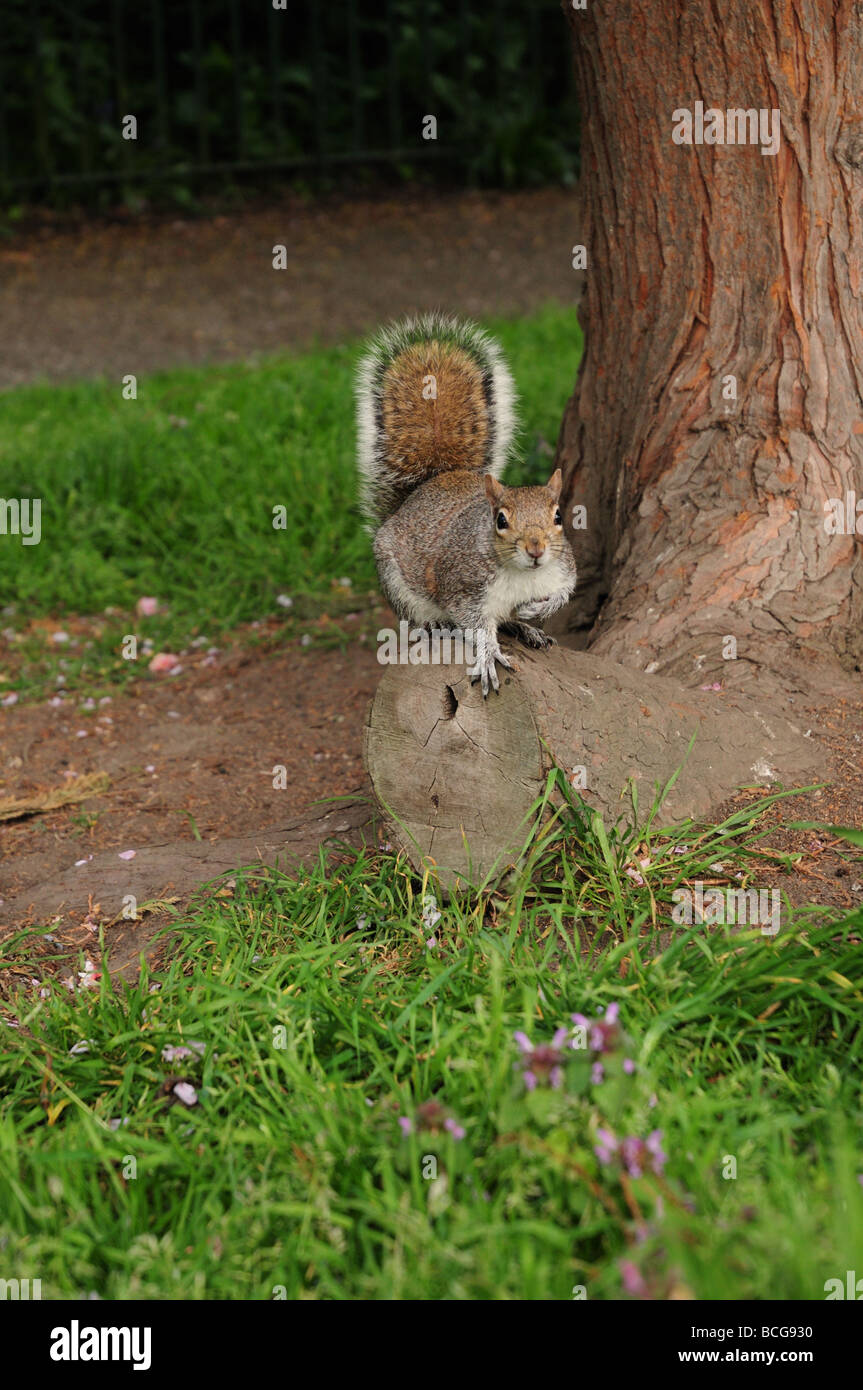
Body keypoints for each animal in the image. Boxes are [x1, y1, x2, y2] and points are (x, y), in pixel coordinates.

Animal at [352, 309, 575, 689]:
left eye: (558, 516)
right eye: (501, 520)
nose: (536, 549)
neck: (523, 574)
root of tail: (430, 484)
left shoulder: (564, 567)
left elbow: (566, 590)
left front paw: (540, 609)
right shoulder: (465, 588)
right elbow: (476, 625)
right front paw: (488, 655)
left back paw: (525, 627)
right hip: (396, 581)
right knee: (417, 618)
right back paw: (437, 624)